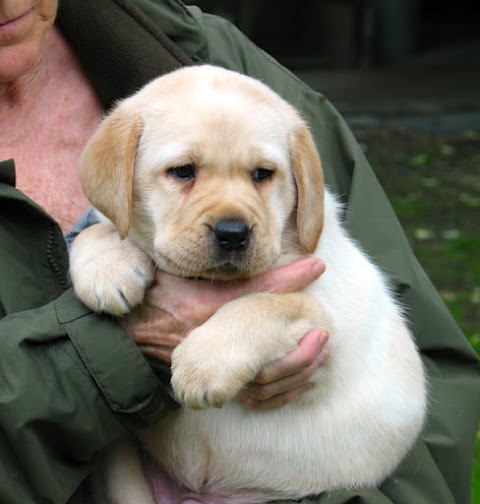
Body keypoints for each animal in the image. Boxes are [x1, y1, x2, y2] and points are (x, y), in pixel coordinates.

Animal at [69, 66, 426, 504]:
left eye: (262, 175)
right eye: (183, 171)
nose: (233, 233)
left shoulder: (327, 325)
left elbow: (264, 305)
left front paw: (204, 364)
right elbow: (99, 228)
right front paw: (106, 266)